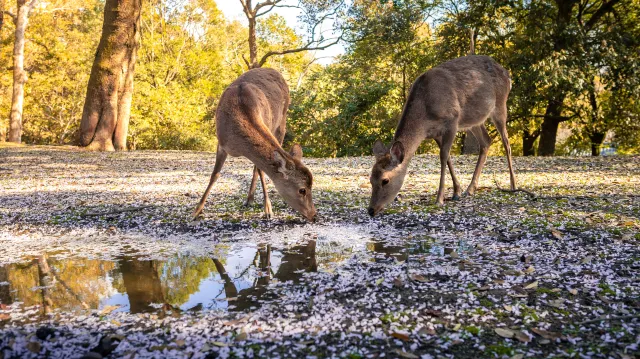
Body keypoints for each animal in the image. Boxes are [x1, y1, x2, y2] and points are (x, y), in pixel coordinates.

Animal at [192, 67, 318, 222]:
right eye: (302, 190)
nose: (314, 215)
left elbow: (260, 170)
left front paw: (268, 210)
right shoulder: (221, 143)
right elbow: (215, 174)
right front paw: (196, 211)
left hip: (281, 123)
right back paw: (249, 199)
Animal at [370, 55, 516, 217]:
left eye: (385, 180)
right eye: (370, 179)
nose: (371, 210)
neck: (425, 115)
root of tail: (508, 75)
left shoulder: (452, 121)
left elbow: (443, 156)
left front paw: (439, 198)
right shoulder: (435, 133)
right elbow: (448, 158)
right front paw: (457, 191)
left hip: (500, 106)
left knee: (507, 143)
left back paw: (513, 184)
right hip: (473, 120)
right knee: (486, 141)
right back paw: (470, 188)